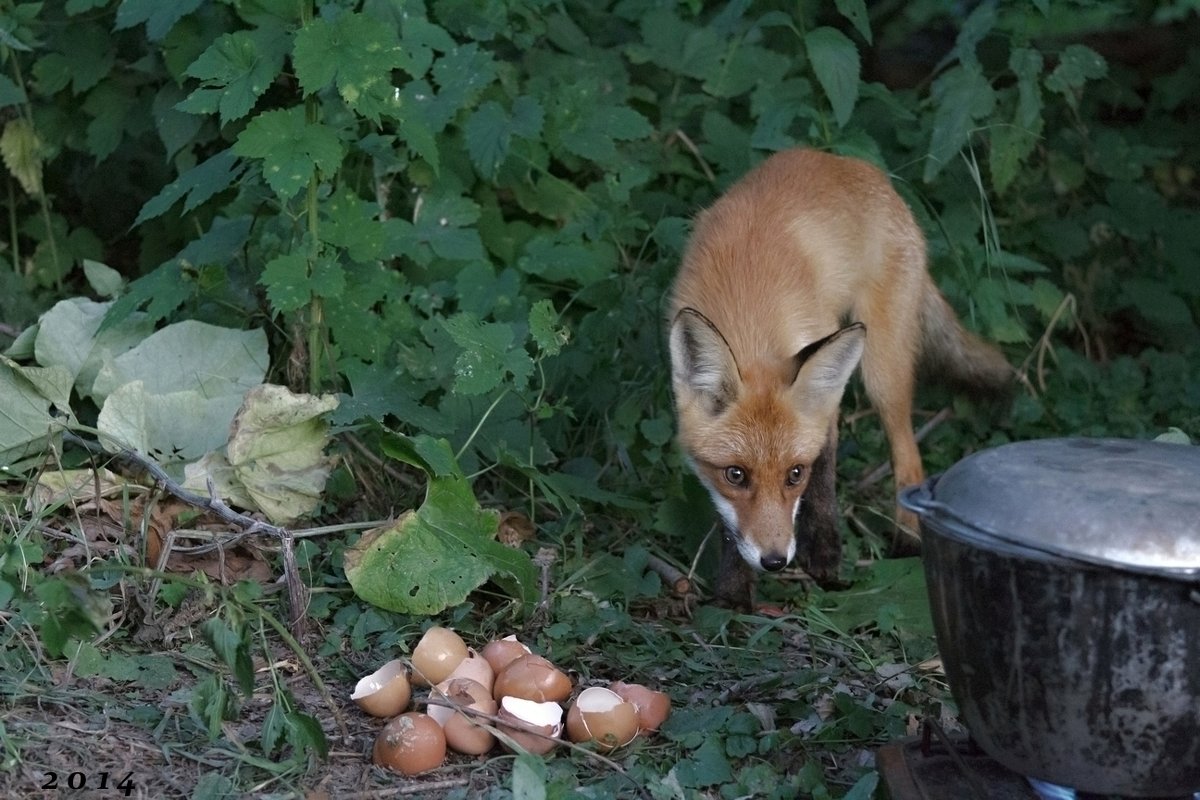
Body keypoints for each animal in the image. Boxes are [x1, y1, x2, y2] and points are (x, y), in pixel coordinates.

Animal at [667, 148, 1012, 606]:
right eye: (735, 475)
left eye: (795, 474)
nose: (776, 560)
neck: (750, 313)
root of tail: (847, 162)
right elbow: (729, 521)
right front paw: (734, 592)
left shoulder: (824, 379)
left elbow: (825, 470)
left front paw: (825, 555)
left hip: (881, 367)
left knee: (907, 452)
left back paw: (907, 538)